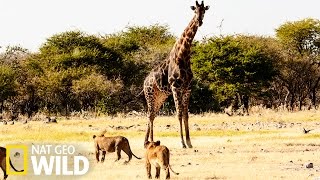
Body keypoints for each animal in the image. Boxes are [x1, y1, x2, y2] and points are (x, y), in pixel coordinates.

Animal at [143, 0, 209, 148]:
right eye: (194, 10)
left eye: (204, 11)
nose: (199, 21)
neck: (183, 55)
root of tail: (144, 82)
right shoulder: (175, 87)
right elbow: (178, 114)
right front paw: (182, 142)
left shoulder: (187, 88)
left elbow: (186, 115)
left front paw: (189, 142)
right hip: (150, 94)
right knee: (150, 115)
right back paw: (150, 142)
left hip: (160, 96)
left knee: (152, 114)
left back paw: (147, 141)